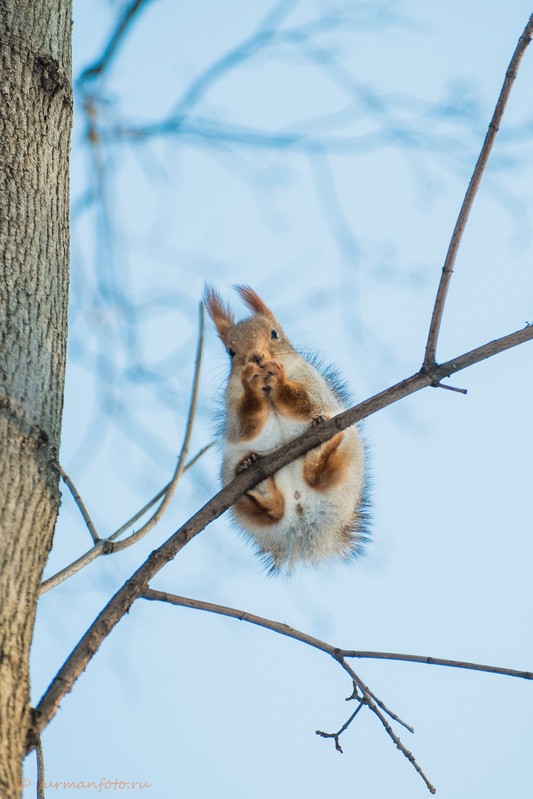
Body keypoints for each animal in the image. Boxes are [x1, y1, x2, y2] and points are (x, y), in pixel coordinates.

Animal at [203, 284, 366, 572]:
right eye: (231, 351)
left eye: (274, 333)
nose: (256, 357)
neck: (267, 391)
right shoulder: (233, 404)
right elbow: (245, 427)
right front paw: (251, 382)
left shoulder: (311, 382)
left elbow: (309, 403)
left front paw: (278, 379)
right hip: (229, 476)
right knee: (273, 510)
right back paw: (256, 479)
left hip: (348, 447)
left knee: (322, 474)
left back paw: (320, 449)